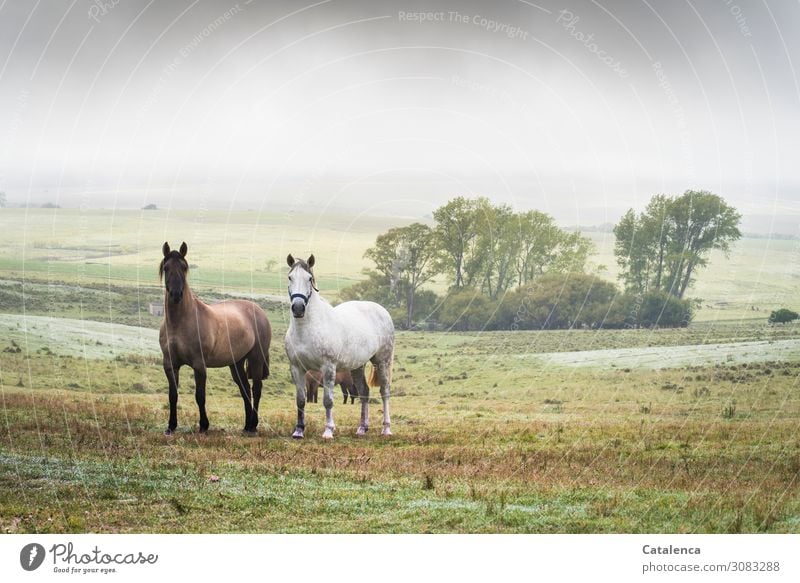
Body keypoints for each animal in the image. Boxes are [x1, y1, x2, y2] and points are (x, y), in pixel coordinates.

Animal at [159, 240, 272, 436]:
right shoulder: (170, 365)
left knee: (256, 389)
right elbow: (173, 395)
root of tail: (259, 311)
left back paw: (253, 426)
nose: (176, 294)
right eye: (166, 268)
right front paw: (171, 426)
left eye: (184, 267)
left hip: (256, 358)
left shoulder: (199, 365)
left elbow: (200, 396)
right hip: (236, 363)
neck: (179, 323)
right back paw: (246, 425)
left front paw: (204, 425)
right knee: (245, 389)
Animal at [284, 253, 396, 440]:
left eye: (309, 278)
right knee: (364, 391)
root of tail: (382, 311)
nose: (298, 308)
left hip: (382, 361)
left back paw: (386, 429)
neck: (307, 329)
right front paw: (298, 430)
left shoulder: (328, 368)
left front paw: (328, 431)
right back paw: (362, 428)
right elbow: (300, 399)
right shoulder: (296, 368)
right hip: (357, 366)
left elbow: (328, 400)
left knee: (385, 391)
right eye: (290, 277)